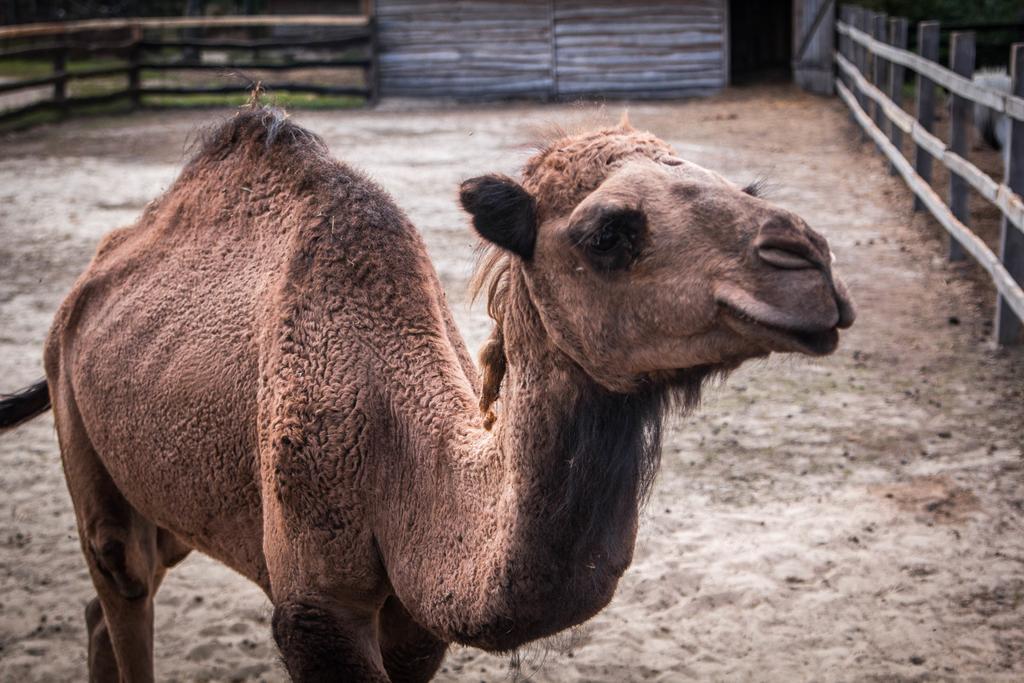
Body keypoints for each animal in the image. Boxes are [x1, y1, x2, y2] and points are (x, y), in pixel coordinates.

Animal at [0, 104, 856, 679]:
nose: (811, 263)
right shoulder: (314, 608)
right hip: (80, 423)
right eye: (609, 231)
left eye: (742, 184)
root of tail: (86, 285)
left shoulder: (414, 620)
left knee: (111, 597)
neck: (402, 450)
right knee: (121, 576)